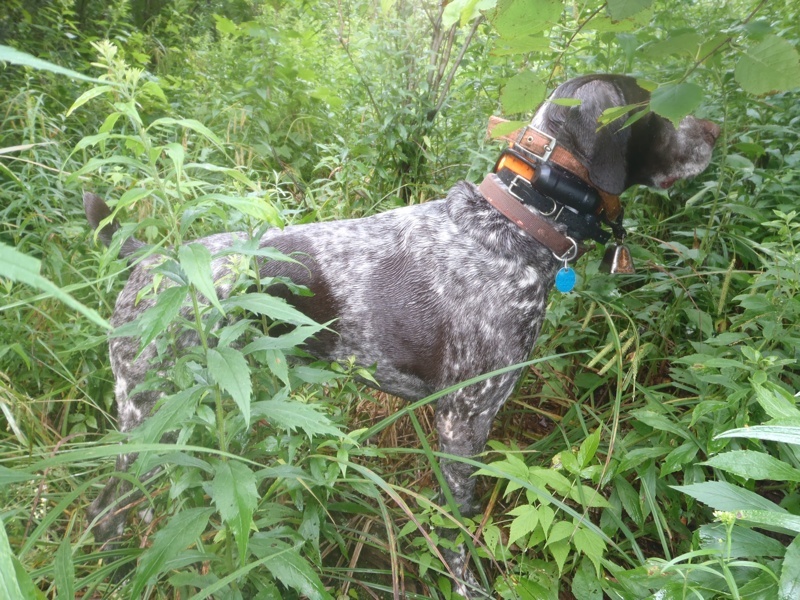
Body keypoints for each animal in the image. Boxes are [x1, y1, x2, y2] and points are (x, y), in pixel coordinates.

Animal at [84, 72, 716, 592]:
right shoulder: (463, 421)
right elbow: (460, 534)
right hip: (151, 419)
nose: (715, 126)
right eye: (656, 108)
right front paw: (468, 584)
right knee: (106, 514)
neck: (517, 222)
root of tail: (152, 259)